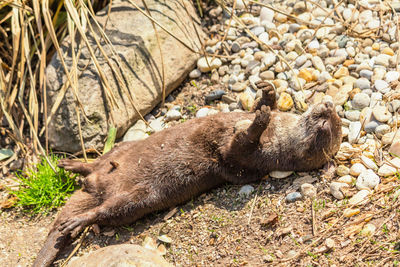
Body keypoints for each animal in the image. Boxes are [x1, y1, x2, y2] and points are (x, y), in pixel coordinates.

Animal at [32, 82, 342, 267]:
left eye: (324, 124)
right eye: (333, 114)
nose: (328, 104)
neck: (278, 134)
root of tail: (95, 187)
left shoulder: (249, 159)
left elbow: (239, 145)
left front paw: (260, 119)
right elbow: (256, 109)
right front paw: (267, 94)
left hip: (136, 199)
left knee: (106, 211)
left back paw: (76, 220)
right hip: (120, 149)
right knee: (99, 162)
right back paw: (72, 165)